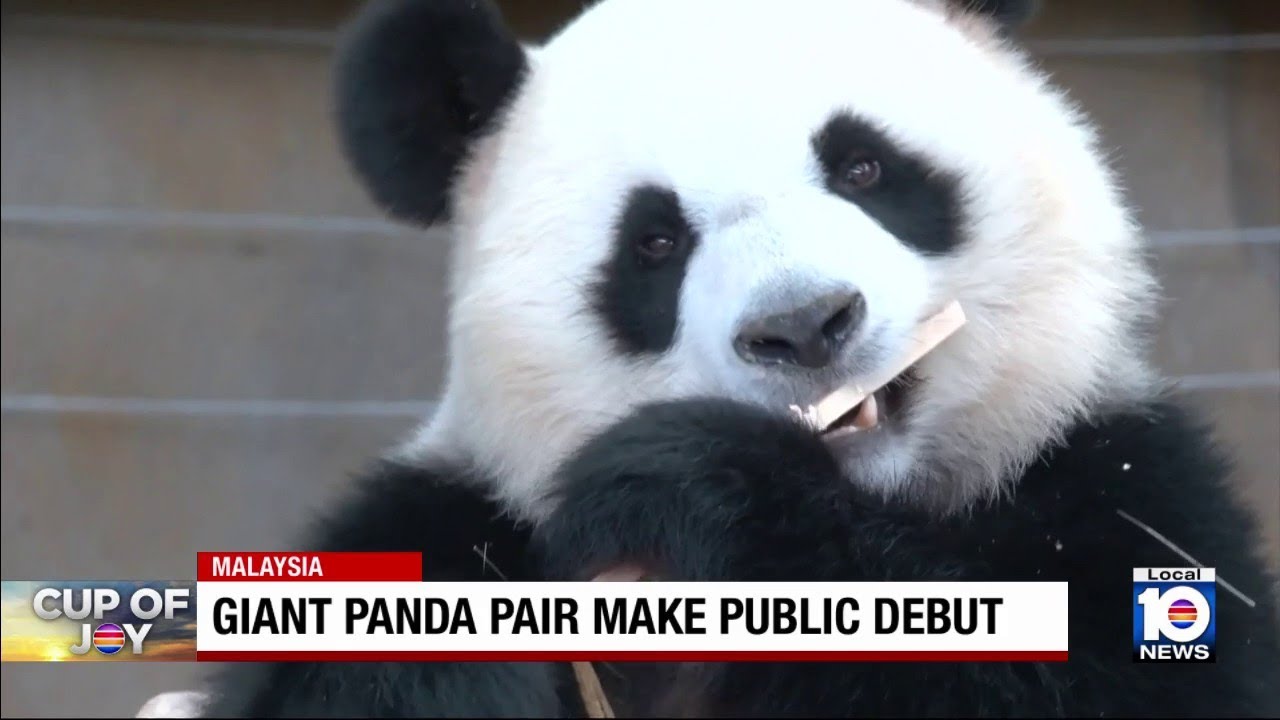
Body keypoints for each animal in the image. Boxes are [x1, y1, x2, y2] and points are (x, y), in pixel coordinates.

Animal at [200, 0, 1280, 716]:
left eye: (864, 166)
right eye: (653, 242)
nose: (804, 325)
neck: (872, 498)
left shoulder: (1120, 482)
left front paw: (697, 489)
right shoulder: (453, 512)